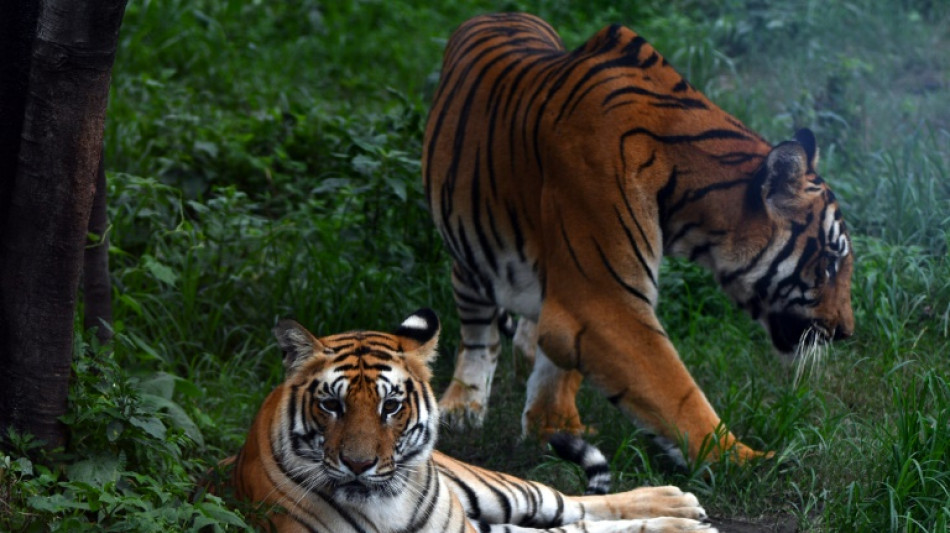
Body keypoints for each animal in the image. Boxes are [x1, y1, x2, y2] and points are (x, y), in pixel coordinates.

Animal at [229, 309, 716, 532]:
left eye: (391, 406)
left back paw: (678, 507)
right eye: (332, 405)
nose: (359, 465)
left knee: (573, 508)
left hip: (501, 489)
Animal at [422, 12, 854, 465]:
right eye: (828, 263)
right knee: (478, 334)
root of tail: (501, 13)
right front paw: (749, 460)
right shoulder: (603, 302)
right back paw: (463, 405)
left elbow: (558, 366)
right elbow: (676, 391)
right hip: (469, 254)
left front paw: (554, 427)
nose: (846, 331)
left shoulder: (573, 289)